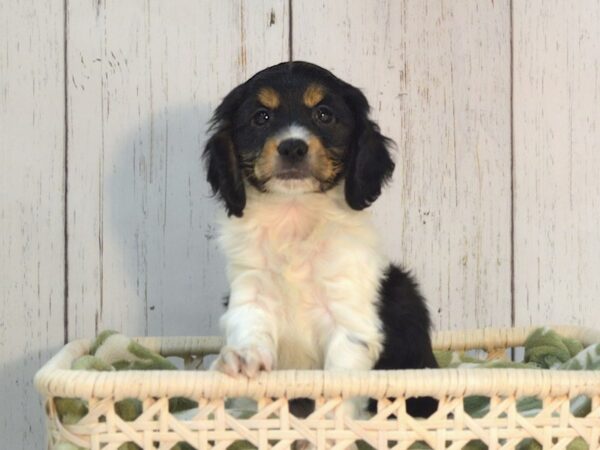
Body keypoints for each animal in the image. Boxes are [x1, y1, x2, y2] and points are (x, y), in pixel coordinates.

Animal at [203, 61, 436, 420]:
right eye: (261, 117)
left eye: (324, 115)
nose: (293, 146)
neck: (295, 213)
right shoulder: (251, 289)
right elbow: (250, 323)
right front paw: (242, 357)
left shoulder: (349, 315)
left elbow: (338, 381)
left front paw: (326, 423)